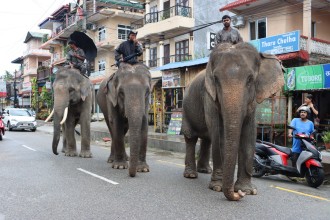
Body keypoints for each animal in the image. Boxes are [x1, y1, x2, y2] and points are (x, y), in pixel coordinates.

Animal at [182, 41, 284, 201]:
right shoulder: (209, 96)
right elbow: (219, 134)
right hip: (185, 109)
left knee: (207, 139)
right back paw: (191, 174)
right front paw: (217, 187)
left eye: (250, 79)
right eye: (216, 79)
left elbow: (249, 134)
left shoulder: (252, 103)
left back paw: (205, 170)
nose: (238, 195)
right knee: (191, 138)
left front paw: (248, 190)